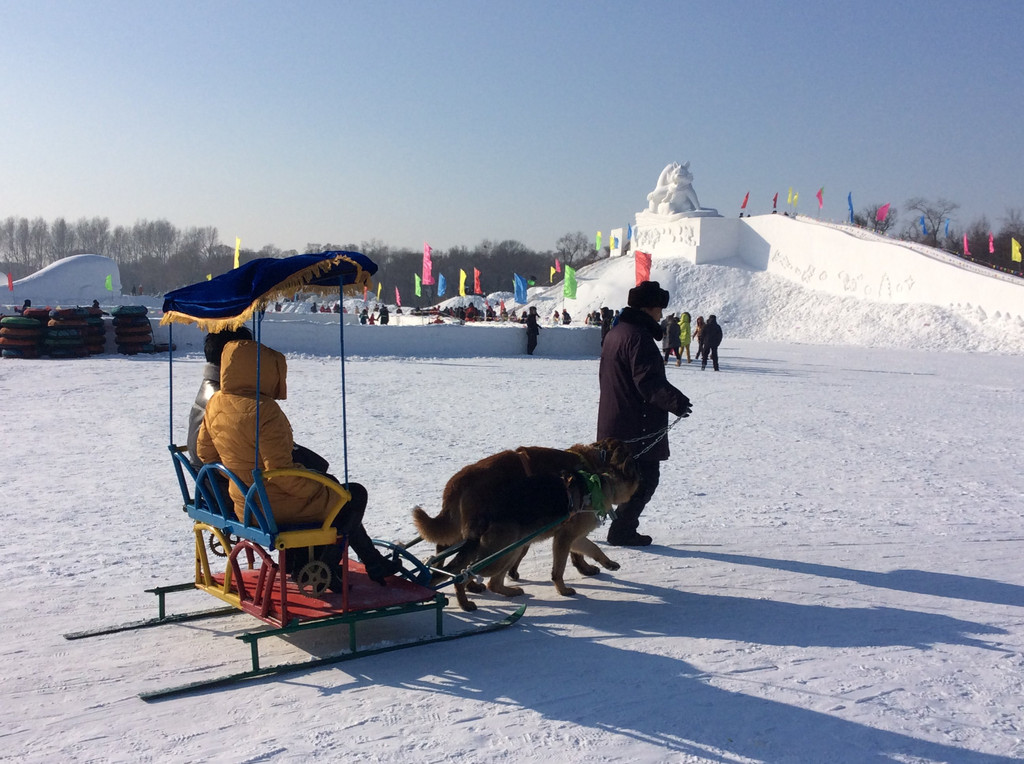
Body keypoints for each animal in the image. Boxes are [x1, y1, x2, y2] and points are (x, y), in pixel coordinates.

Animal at [409, 438, 634, 610]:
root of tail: (455, 484)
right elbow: (571, 553)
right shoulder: (563, 532)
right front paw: (583, 569)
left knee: (447, 556)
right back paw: (466, 590)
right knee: (463, 565)